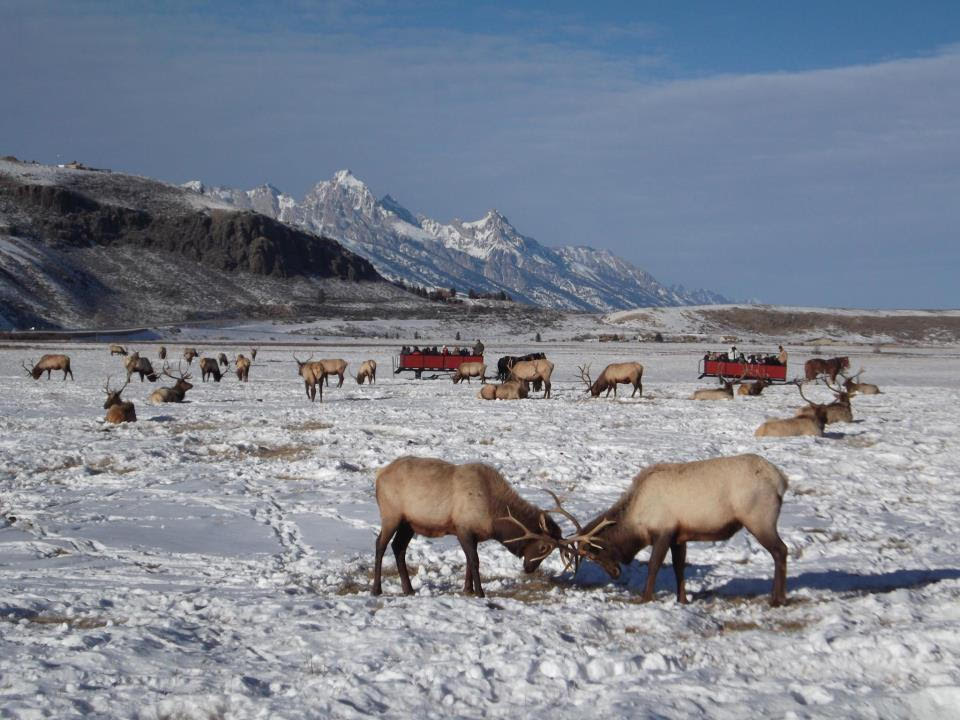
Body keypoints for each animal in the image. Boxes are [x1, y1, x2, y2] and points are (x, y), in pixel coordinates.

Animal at [372, 456, 571, 597]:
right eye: (544, 547)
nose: (529, 569)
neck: (494, 518)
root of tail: (379, 475)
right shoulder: (463, 528)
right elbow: (474, 560)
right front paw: (480, 593)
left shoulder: (473, 534)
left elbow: (468, 560)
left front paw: (468, 589)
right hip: (391, 515)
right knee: (380, 544)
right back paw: (376, 589)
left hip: (409, 523)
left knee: (398, 547)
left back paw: (409, 589)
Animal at [563, 454, 789, 606]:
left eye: (593, 554)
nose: (614, 574)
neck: (637, 522)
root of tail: (781, 480)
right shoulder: (679, 537)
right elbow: (678, 567)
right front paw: (683, 599)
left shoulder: (663, 531)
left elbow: (654, 565)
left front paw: (645, 597)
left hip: (759, 519)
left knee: (781, 550)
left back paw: (777, 599)